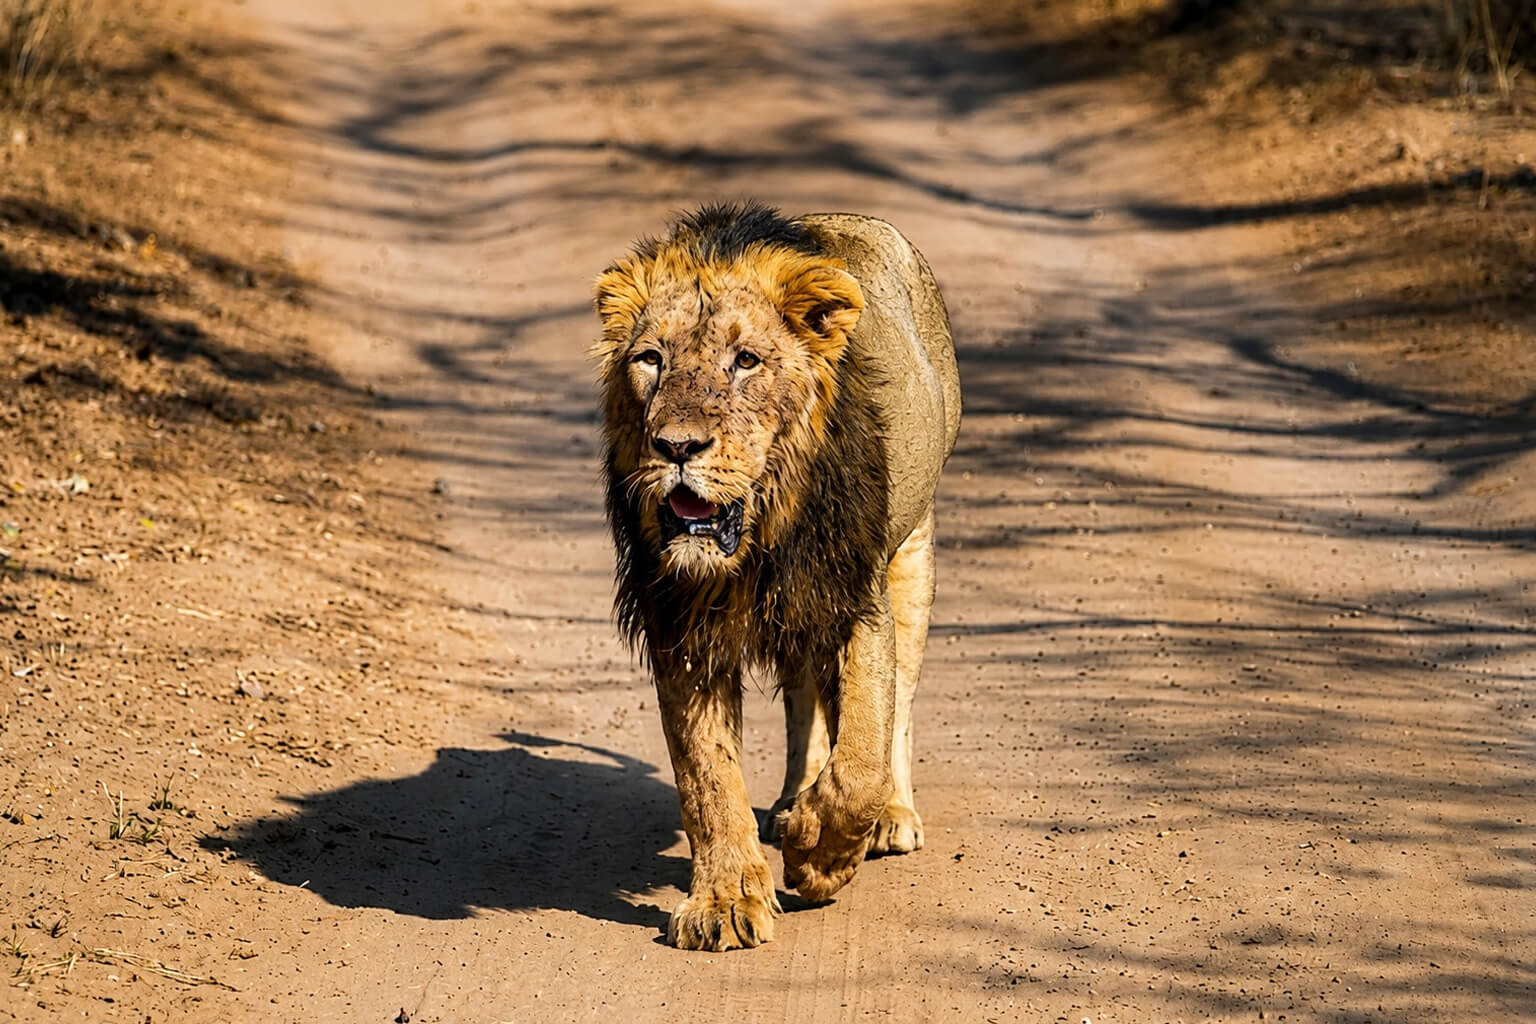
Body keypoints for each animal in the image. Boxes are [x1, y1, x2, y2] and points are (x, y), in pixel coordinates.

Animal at [592, 202, 960, 951]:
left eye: (746, 361)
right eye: (651, 359)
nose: (676, 447)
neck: (761, 536)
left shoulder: (855, 593)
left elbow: (862, 756)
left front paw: (820, 857)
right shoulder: (680, 620)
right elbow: (707, 777)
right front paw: (726, 902)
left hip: (912, 554)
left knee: (899, 704)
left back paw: (889, 818)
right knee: (802, 699)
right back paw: (791, 800)